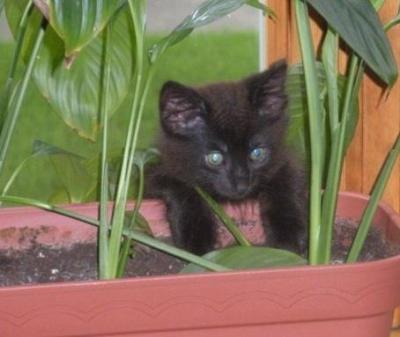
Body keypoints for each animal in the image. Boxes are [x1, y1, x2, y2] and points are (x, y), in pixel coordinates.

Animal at [148, 60, 308, 255]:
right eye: (215, 158)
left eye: (257, 154)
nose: (242, 185)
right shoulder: (160, 171)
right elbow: (183, 188)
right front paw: (197, 239)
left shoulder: (283, 160)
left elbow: (286, 181)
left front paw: (288, 237)